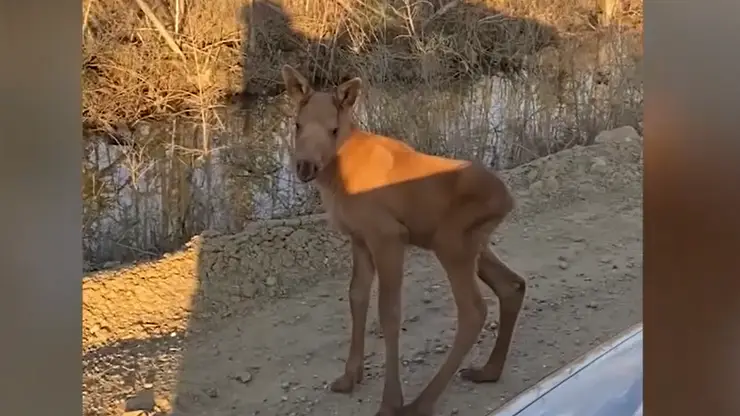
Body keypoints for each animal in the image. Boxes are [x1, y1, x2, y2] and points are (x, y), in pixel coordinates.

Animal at [280, 63, 528, 414]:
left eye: (333, 129)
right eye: (297, 124)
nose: (305, 167)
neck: (336, 179)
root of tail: (508, 200)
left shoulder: (389, 236)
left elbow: (389, 313)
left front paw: (390, 401)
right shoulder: (359, 238)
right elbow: (357, 297)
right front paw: (349, 376)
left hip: (451, 242)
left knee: (473, 310)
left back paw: (421, 402)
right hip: (473, 243)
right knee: (512, 285)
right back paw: (488, 371)